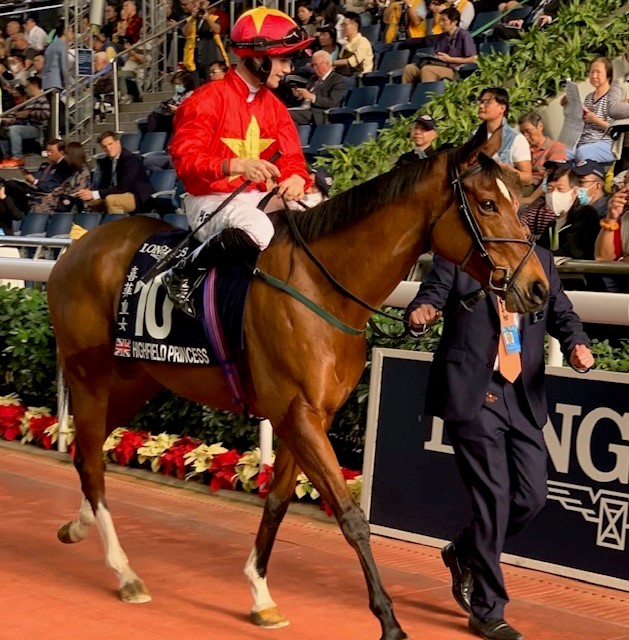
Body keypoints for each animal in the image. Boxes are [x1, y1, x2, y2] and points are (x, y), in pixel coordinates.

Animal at [46, 126, 548, 640]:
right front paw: (389, 620)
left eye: (518, 200)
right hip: (90, 376)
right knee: (93, 461)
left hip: (134, 380)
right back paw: (125, 572)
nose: (537, 288)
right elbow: (351, 518)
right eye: (487, 203)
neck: (323, 288)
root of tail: (77, 247)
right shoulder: (299, 414)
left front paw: (261, 596)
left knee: (87, 455)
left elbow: (278, 502)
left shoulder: (307, 416)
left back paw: (79, 527)